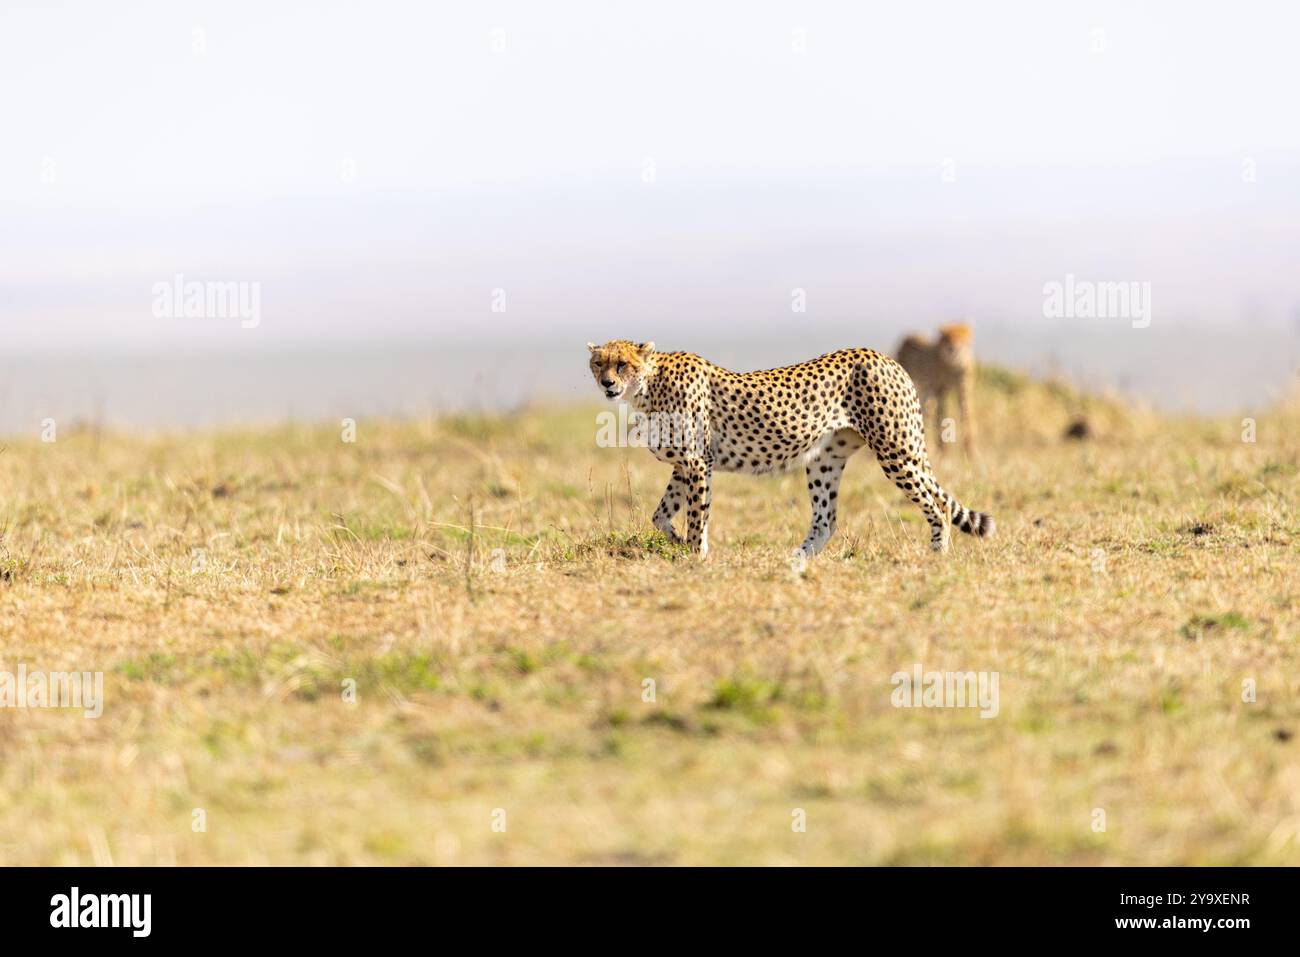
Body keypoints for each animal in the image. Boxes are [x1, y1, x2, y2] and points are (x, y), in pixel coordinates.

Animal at [590, 340, 993, 556]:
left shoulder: (697, 461)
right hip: (825, 460)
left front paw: (696, 555)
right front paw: (678, 542)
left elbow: (697, 514)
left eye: (621, 364)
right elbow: (660, 514)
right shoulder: (685, 464)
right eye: (598, 363)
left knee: (939, 504)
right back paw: (796, 559)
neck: (647, 386)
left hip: (895, 449)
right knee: (826, 519)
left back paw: (936, 557)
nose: (607, 383)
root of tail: (885, 357)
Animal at [899, 321, 977, 455]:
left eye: (962, 338)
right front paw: (942, 448)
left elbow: (966, 416)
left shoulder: (963, 392)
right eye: (947, 338)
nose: (953, 349)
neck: (953, 366)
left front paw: (969, 450)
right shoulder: (940, 391)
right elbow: (941, 414)